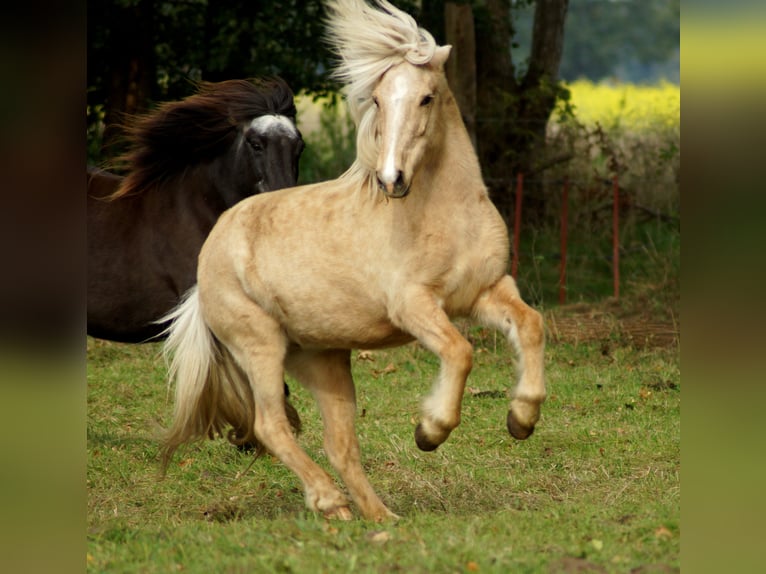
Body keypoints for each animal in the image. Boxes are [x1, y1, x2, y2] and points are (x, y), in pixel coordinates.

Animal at [159, 0, 545, 522]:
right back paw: (329, 501)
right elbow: (460, 351)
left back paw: (376, 517)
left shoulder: (487, 290)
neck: (444, 214)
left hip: (325, 363)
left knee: (340, 445)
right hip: (260, 347)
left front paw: (521, 418)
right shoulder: (414, 306)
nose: (391, 179)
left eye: (427, 98)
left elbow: (531, 324)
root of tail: (208, 259)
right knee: (270, 427)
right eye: (378, 100)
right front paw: (430, 431)